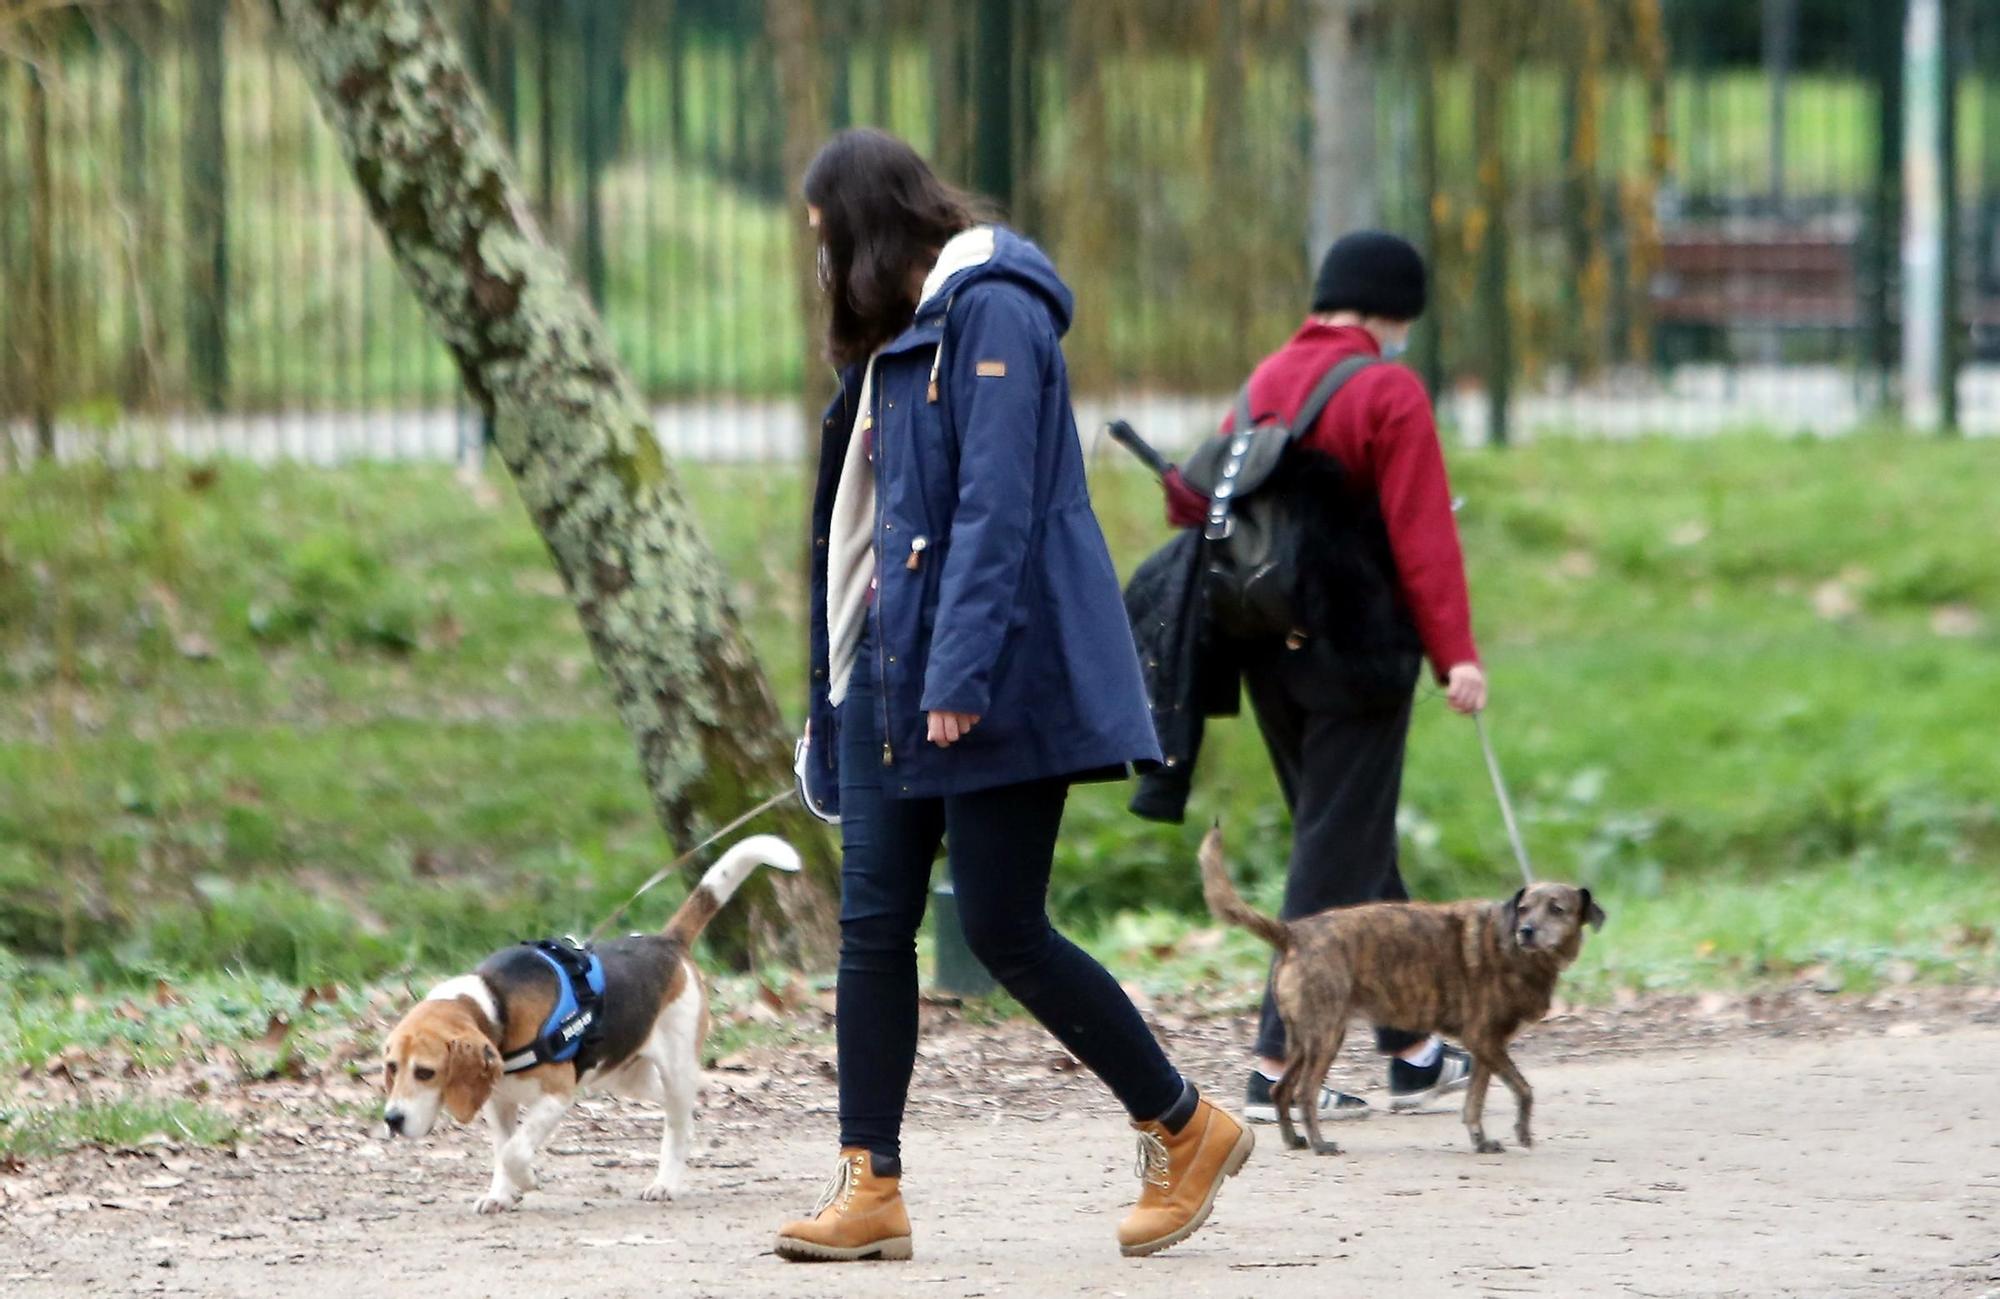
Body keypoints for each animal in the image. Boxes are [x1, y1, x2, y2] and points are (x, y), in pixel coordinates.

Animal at [1192, 823, 1600, 1151]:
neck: (1513, 950)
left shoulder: (1487, 1049)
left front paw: (1482, 1141)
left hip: (1305, 1040)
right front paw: (1522, 1133)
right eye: (1525, 908)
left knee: (1281, 1089)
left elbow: (1475, 1103)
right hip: (1325, 1036)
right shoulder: (1485, 1039)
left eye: (1557, 909)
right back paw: (1321, 1144)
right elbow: (1524, 1089)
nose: (1526, 931)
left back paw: (1295, 1141)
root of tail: (1294, 933)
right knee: (1305, 1093)